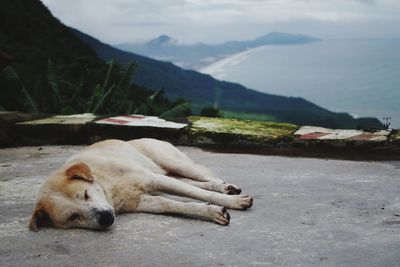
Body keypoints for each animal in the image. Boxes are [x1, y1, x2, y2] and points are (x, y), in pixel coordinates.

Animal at [28, 139, 253, 231]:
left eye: (85, 194)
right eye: (73, 217)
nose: (106, 218)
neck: (107, 186)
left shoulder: (154, 180)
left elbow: (196, 193)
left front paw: (231, 202)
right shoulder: (141, 200)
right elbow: (171, 205)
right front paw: (212, 212)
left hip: (171, 164)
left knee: (201, 178)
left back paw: (226, 187)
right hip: (168, 173)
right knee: (194, 182)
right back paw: (226, 188)